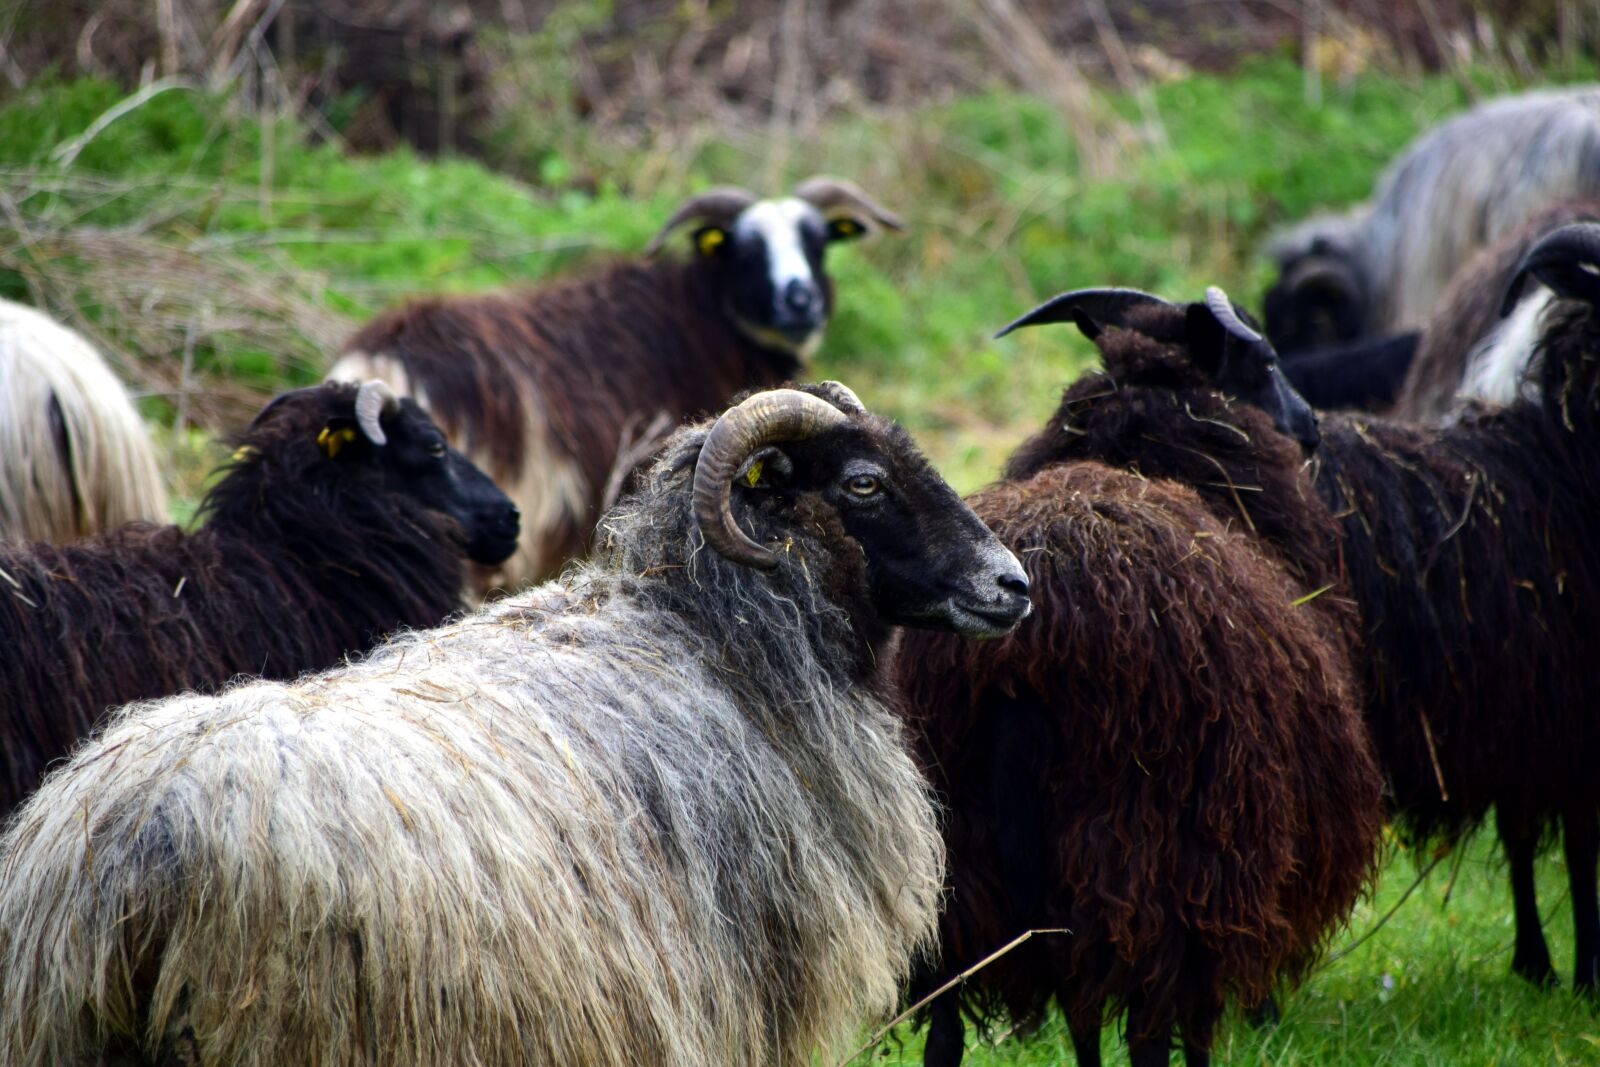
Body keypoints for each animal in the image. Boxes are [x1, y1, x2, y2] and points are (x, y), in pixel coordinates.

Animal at [898, 298, 1381, 1067]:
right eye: (1263, 360)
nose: (1308, 424)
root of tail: (1020, 658)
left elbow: (1082, 1024)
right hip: (1155, 859)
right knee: (1152, 1032)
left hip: (956, 869)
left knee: (949, 1030)